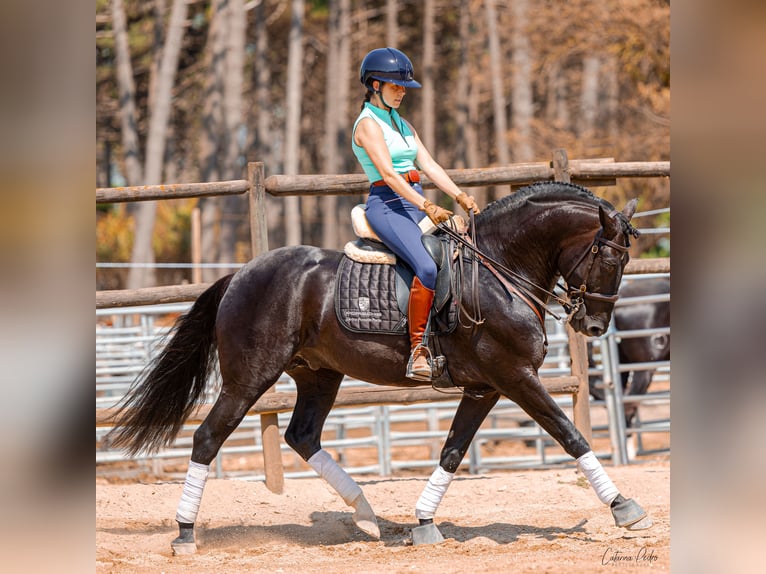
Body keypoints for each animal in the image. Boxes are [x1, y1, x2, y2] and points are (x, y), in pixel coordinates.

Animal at [103, 182, 656, 556]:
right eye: (611, 259)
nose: (594, 325)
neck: (500, 270)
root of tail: (241, 273)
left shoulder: (484, 388)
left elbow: (453, 451)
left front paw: (424, 523)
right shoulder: (516, 377)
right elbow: (571, 435)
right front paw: (624, 508)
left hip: (319, 375)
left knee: (303, 436)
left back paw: (369, 518)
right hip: (249, 378)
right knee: (207, 438)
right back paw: (185, 534)